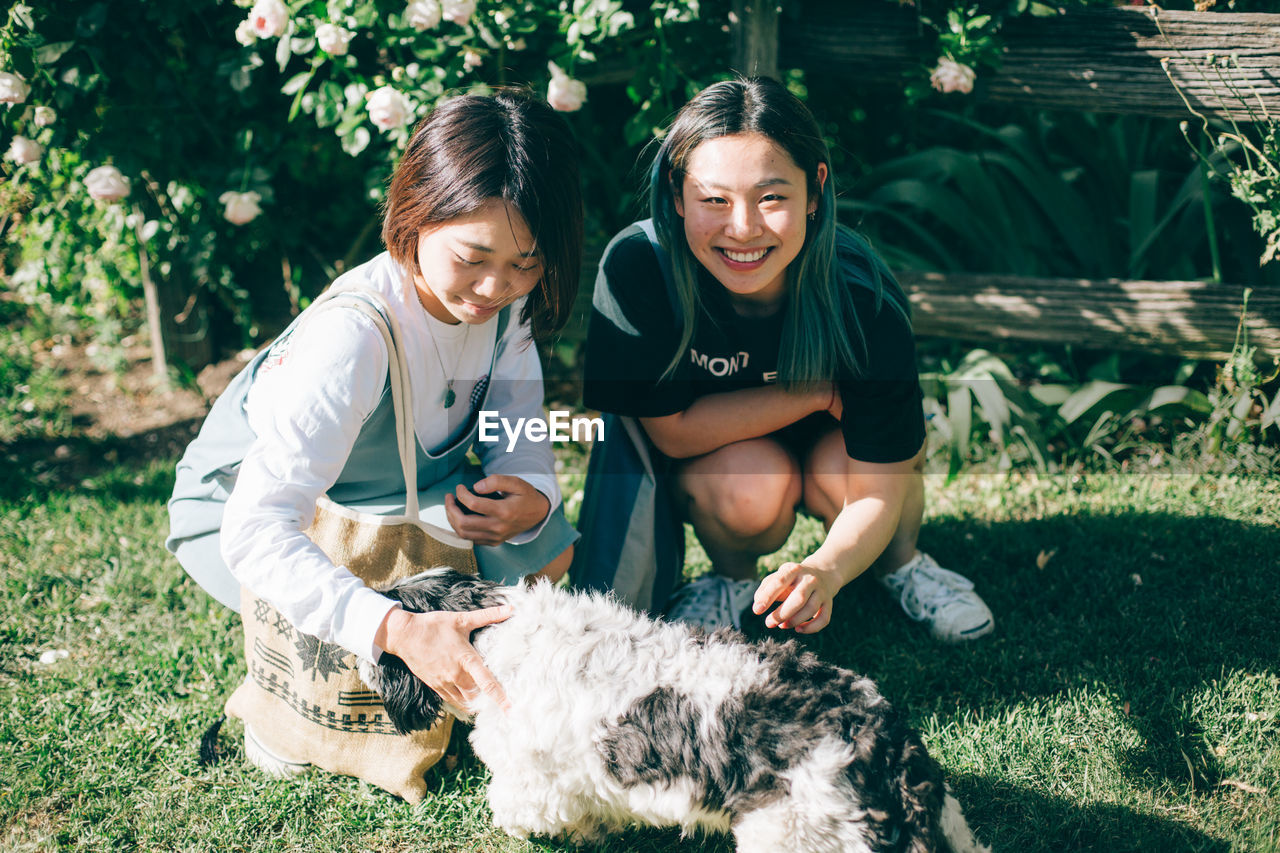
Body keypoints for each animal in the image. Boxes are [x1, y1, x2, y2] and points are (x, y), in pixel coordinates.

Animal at [358, 563, 988, 850]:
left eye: (386, 643)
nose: (359, 658)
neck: (496, 637)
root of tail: (883, 749)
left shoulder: (532, 779)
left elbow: (518, 809)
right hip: (949, 825)